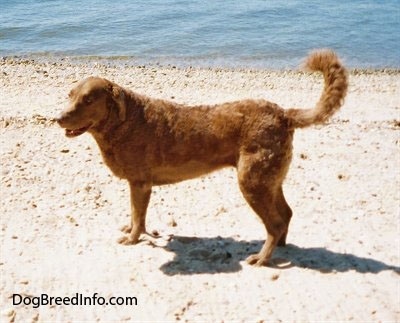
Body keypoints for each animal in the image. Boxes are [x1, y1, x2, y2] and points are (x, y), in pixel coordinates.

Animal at [56, 50, 346, 266]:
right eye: (70, 95)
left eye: (88, 99)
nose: (58, 118)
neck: (124, 122)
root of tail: (284, 114)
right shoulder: (138, 186)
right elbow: (135, 215)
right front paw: (130, 231)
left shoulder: (140, 184)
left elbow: (138, 216)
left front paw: (133, 238)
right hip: (269, 179)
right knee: (285, 214)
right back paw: (282, 248)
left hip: (252, 181)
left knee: (274, 223)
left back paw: (262, 258)